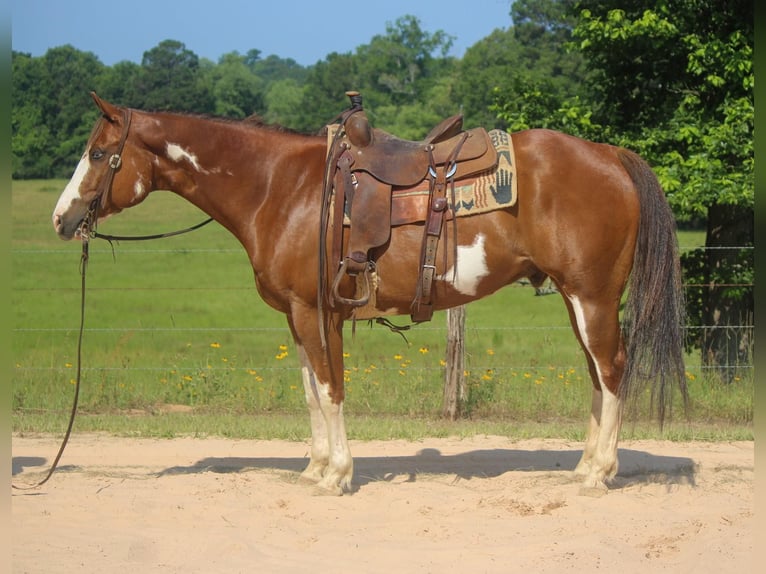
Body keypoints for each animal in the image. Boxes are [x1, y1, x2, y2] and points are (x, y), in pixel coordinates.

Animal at [54, 93, 688, 496]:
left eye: (97, 153)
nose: (62, 219)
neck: (280, 188)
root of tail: (612, 156)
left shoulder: (316, 311)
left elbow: (331, 390)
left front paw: (337, 474)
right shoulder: (299, 316)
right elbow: (311, 393)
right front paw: (314, 470)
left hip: (593, 298)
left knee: (613, 370)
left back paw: (600, 472)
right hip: (576, 300)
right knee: (597, 376)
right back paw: (583, 467)